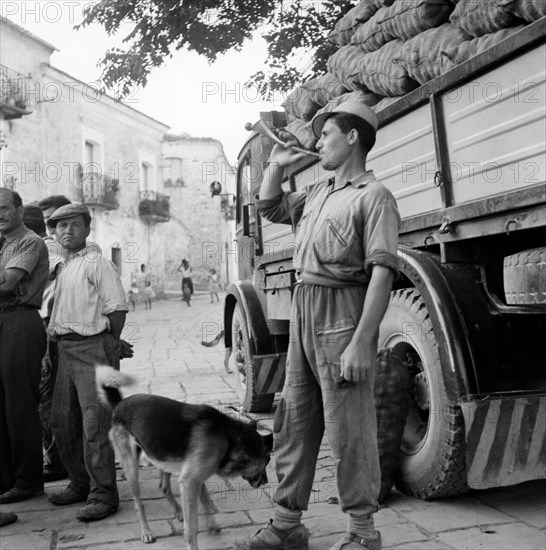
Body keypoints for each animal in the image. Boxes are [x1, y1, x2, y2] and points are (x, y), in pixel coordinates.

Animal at [95, 368, 272, 548]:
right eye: (268, 460)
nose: (266, 481)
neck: (229, 437)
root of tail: (119, 404)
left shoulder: (195, 479)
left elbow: (205, 499)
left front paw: (211, 523)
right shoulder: (190, 481)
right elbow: (192, 527)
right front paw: (192, 542)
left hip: (163, 456)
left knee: (164, 487)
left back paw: (179, 511)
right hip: (131, 466)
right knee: (139, 503)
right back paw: (146, 531)